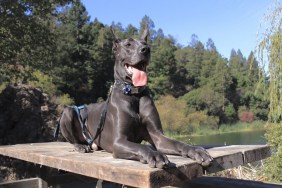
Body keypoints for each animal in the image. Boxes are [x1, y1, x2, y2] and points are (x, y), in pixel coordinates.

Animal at [59, 25, 214, 168]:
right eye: (128, 44)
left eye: (145, 44)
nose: (146, 50)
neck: (134, 94)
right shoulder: (119, 141)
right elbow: (142, 146)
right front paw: (155, 154)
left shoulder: (157, 136)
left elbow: (178, 143)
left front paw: (196, 150)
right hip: (68, 112)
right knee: (72, 138)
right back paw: (80, 146)